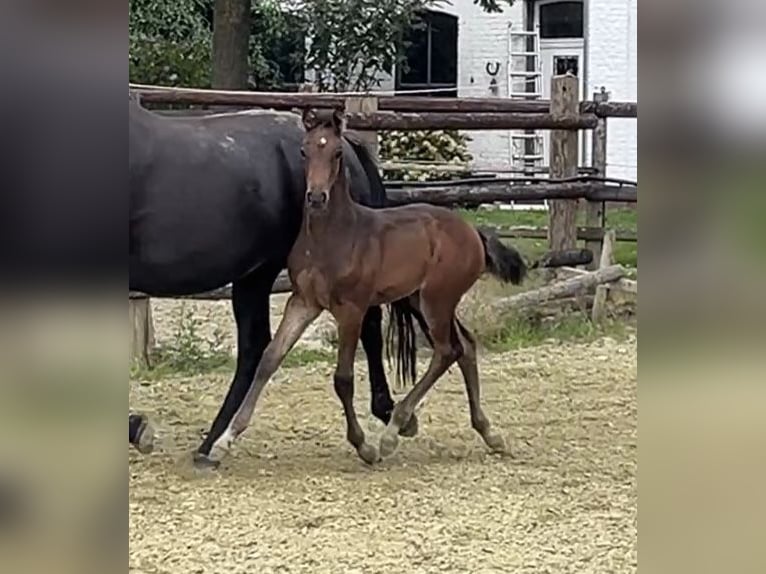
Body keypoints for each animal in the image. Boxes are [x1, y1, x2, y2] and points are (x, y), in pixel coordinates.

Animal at [129, 95, 418, 466]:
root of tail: (351, 147)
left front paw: (138, 428)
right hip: (253, 276)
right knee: (256, 349)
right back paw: (213, 444)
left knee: (366, 326)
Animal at [209, 108, 528, 465]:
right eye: (304, 151)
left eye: (337, 152)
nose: (316, 197)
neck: (334, 236)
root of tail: (474, 232)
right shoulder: (303, 301)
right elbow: (269, 359)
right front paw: (224, 441)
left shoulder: (351, 310)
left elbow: (343, 378)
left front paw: (364, 445)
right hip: (420, 300)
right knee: (466, 346)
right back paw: (489, 433)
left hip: (437, 300)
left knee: (448, 351)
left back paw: (392, 433)